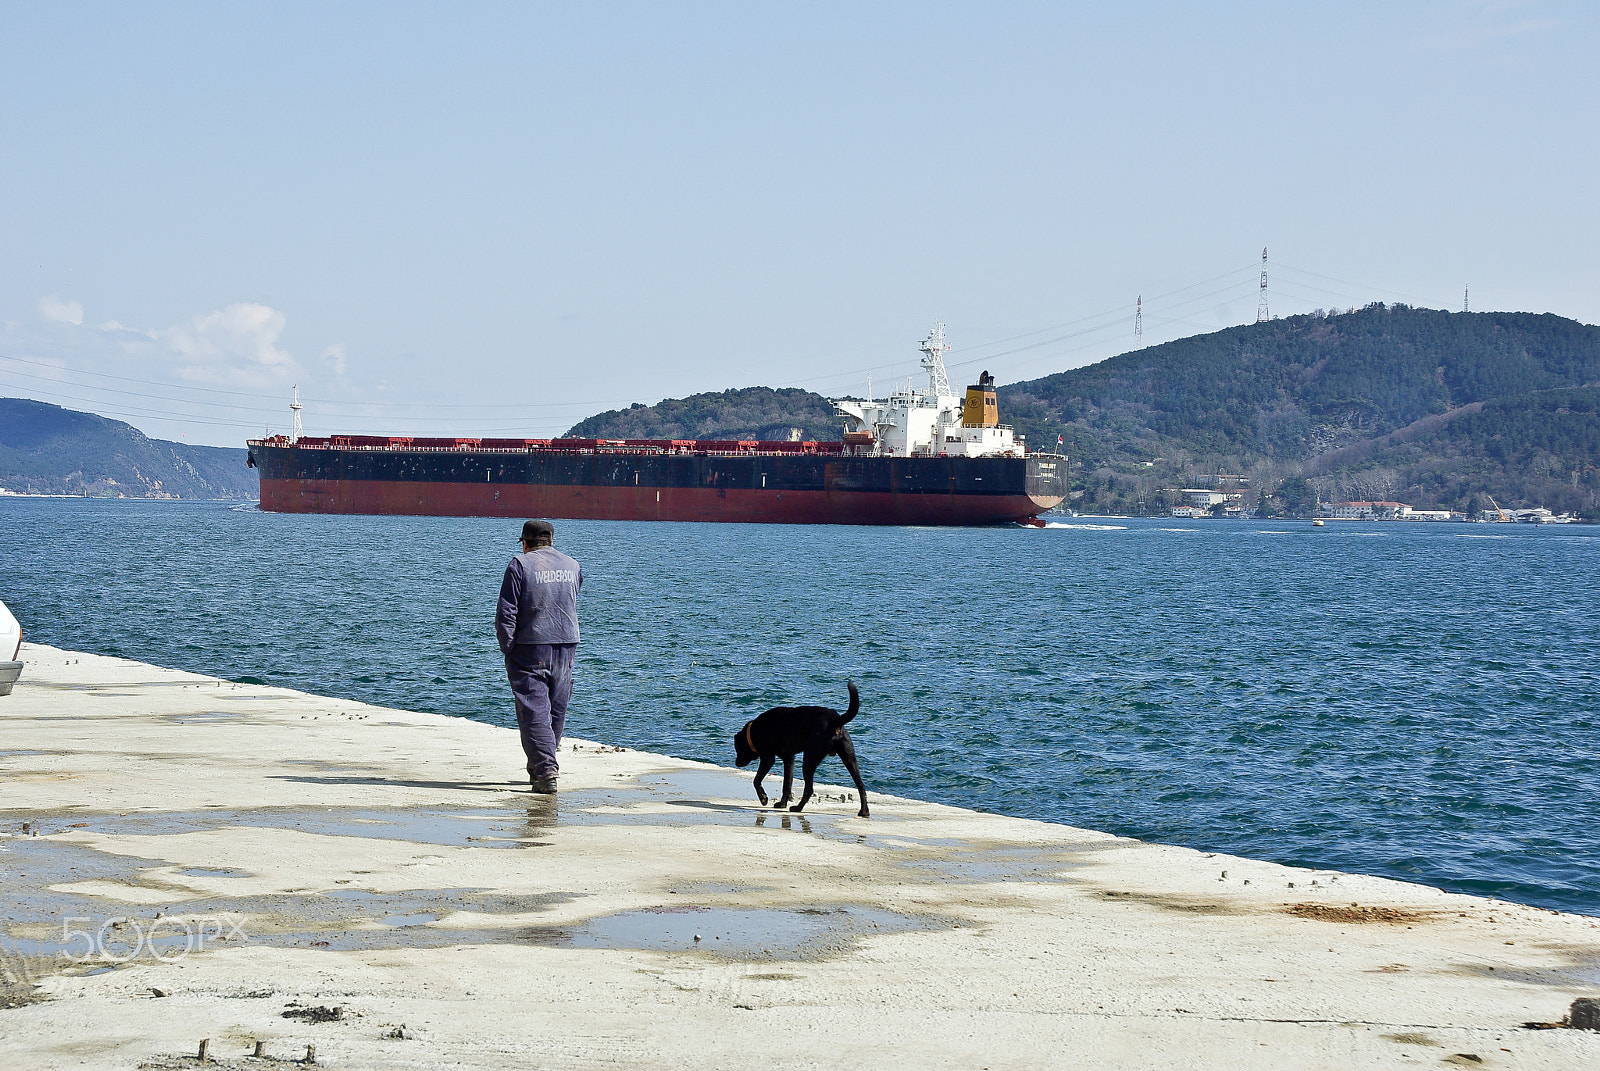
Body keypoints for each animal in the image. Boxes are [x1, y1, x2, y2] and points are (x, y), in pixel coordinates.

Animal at [736, 675, 876, 819]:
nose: (736, 763)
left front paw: (763, 798)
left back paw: (798, 808)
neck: (752, 731)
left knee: (809, 788)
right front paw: (782, 803)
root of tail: (835, 719)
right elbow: (787, 784)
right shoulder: (789, 759)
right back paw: (864, 812)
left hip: (809, 759)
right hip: (849, 757)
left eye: (738, 749)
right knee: (861, 785)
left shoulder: (768, 758)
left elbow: (756, 780)